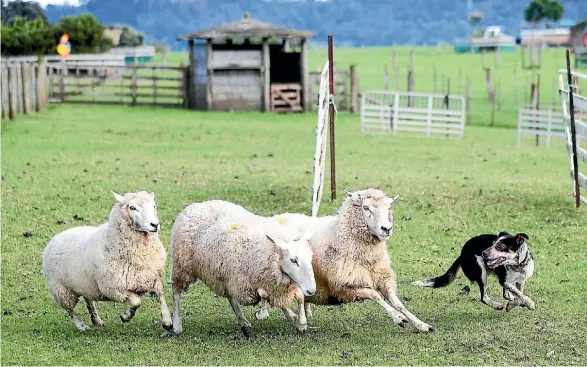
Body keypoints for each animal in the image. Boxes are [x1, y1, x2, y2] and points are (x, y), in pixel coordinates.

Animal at [40, 191, 170, 332]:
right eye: (132, 208)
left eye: (154, 206)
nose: (155, 225)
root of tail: (55, 238)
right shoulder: (114, 289)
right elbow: (137, 302)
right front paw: (125, 316)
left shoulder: (152, 278)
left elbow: (161, 295)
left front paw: (167, 321)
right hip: (61, 290)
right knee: (70, 310)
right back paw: (81, 326)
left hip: (84, 284)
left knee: (88, 300)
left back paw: (96, 319)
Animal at [170, 200, 316, 338]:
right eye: (293, 260)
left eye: (310, 258)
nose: (312, 290)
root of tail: (196, 205)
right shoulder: (255, 281)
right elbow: (265, 296)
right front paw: (262, 314)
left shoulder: (274, 285)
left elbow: (299, 297)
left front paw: (300, 322)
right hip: (182, 265)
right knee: (176, 293)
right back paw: (176, 325)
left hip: (224, 275)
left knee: (230, 297)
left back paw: (244, 322)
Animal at [258, 188, 436, 334]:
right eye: (366, 208)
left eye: (389, 208)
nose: (386, 229)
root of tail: (274, 218)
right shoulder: (343, 286)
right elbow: (374, 294)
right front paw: (398, 318)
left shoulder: (382, 277)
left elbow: (398, 302)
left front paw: (421, 324)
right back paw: (293, 319)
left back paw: (305, 313)